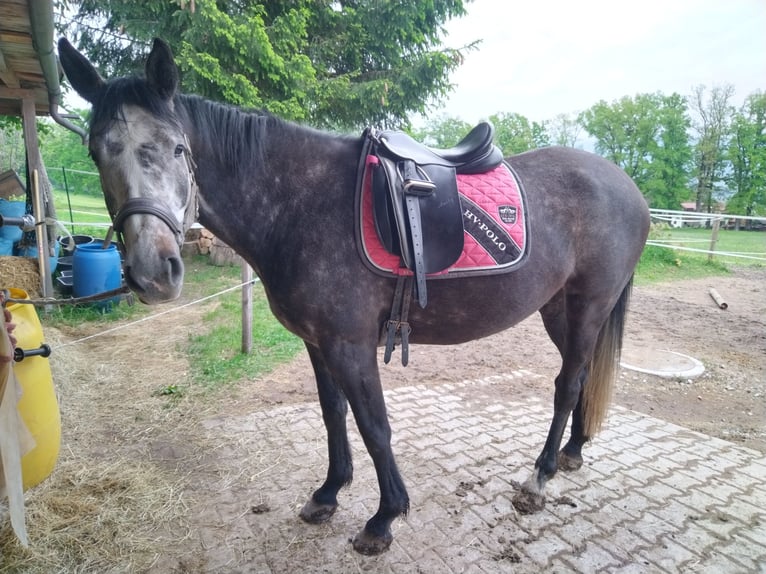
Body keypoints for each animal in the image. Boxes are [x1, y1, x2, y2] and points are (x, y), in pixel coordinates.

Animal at [58, 37, 650, 555]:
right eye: (95, 151)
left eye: (178, 148)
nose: (153, 272)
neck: (300, 203)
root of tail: (627, 185)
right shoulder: (318, 343)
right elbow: (333, 414)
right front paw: (328, 493)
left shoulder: (351, 343)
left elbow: (374, 425)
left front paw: (383, 519)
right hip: (559, 310)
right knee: (581, 377)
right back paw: (572, 453)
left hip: (589, 305)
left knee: (568, 383)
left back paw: (539, 476)